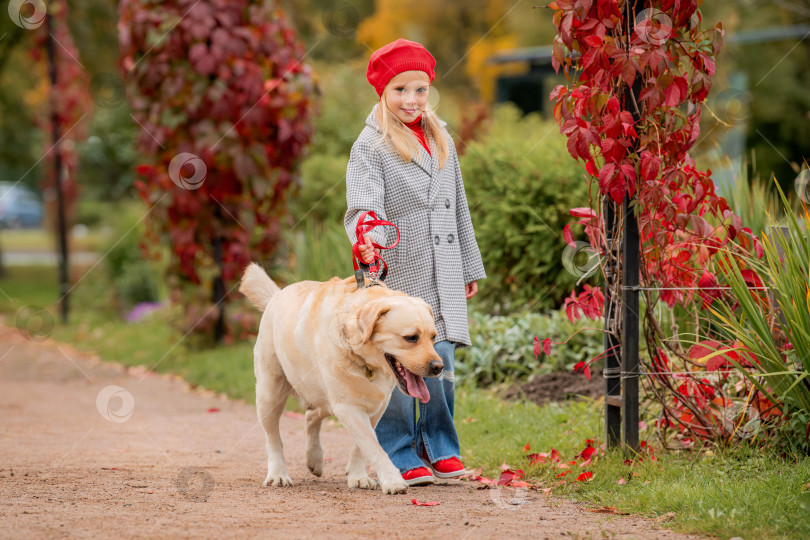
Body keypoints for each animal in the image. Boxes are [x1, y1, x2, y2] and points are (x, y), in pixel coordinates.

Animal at [240, 264, 442, 496]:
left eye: (433, 337)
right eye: (410, 338)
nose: (439, 367)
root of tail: (276, 295)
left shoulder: (375, 407)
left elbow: (360, 446)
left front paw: (358, 476)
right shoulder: (348, 407)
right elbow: (373, 446)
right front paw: (392, 480)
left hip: (323, 397)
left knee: (311, 416)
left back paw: (315, 459)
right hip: (270, 393)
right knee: (273, 438)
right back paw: (278, 474)